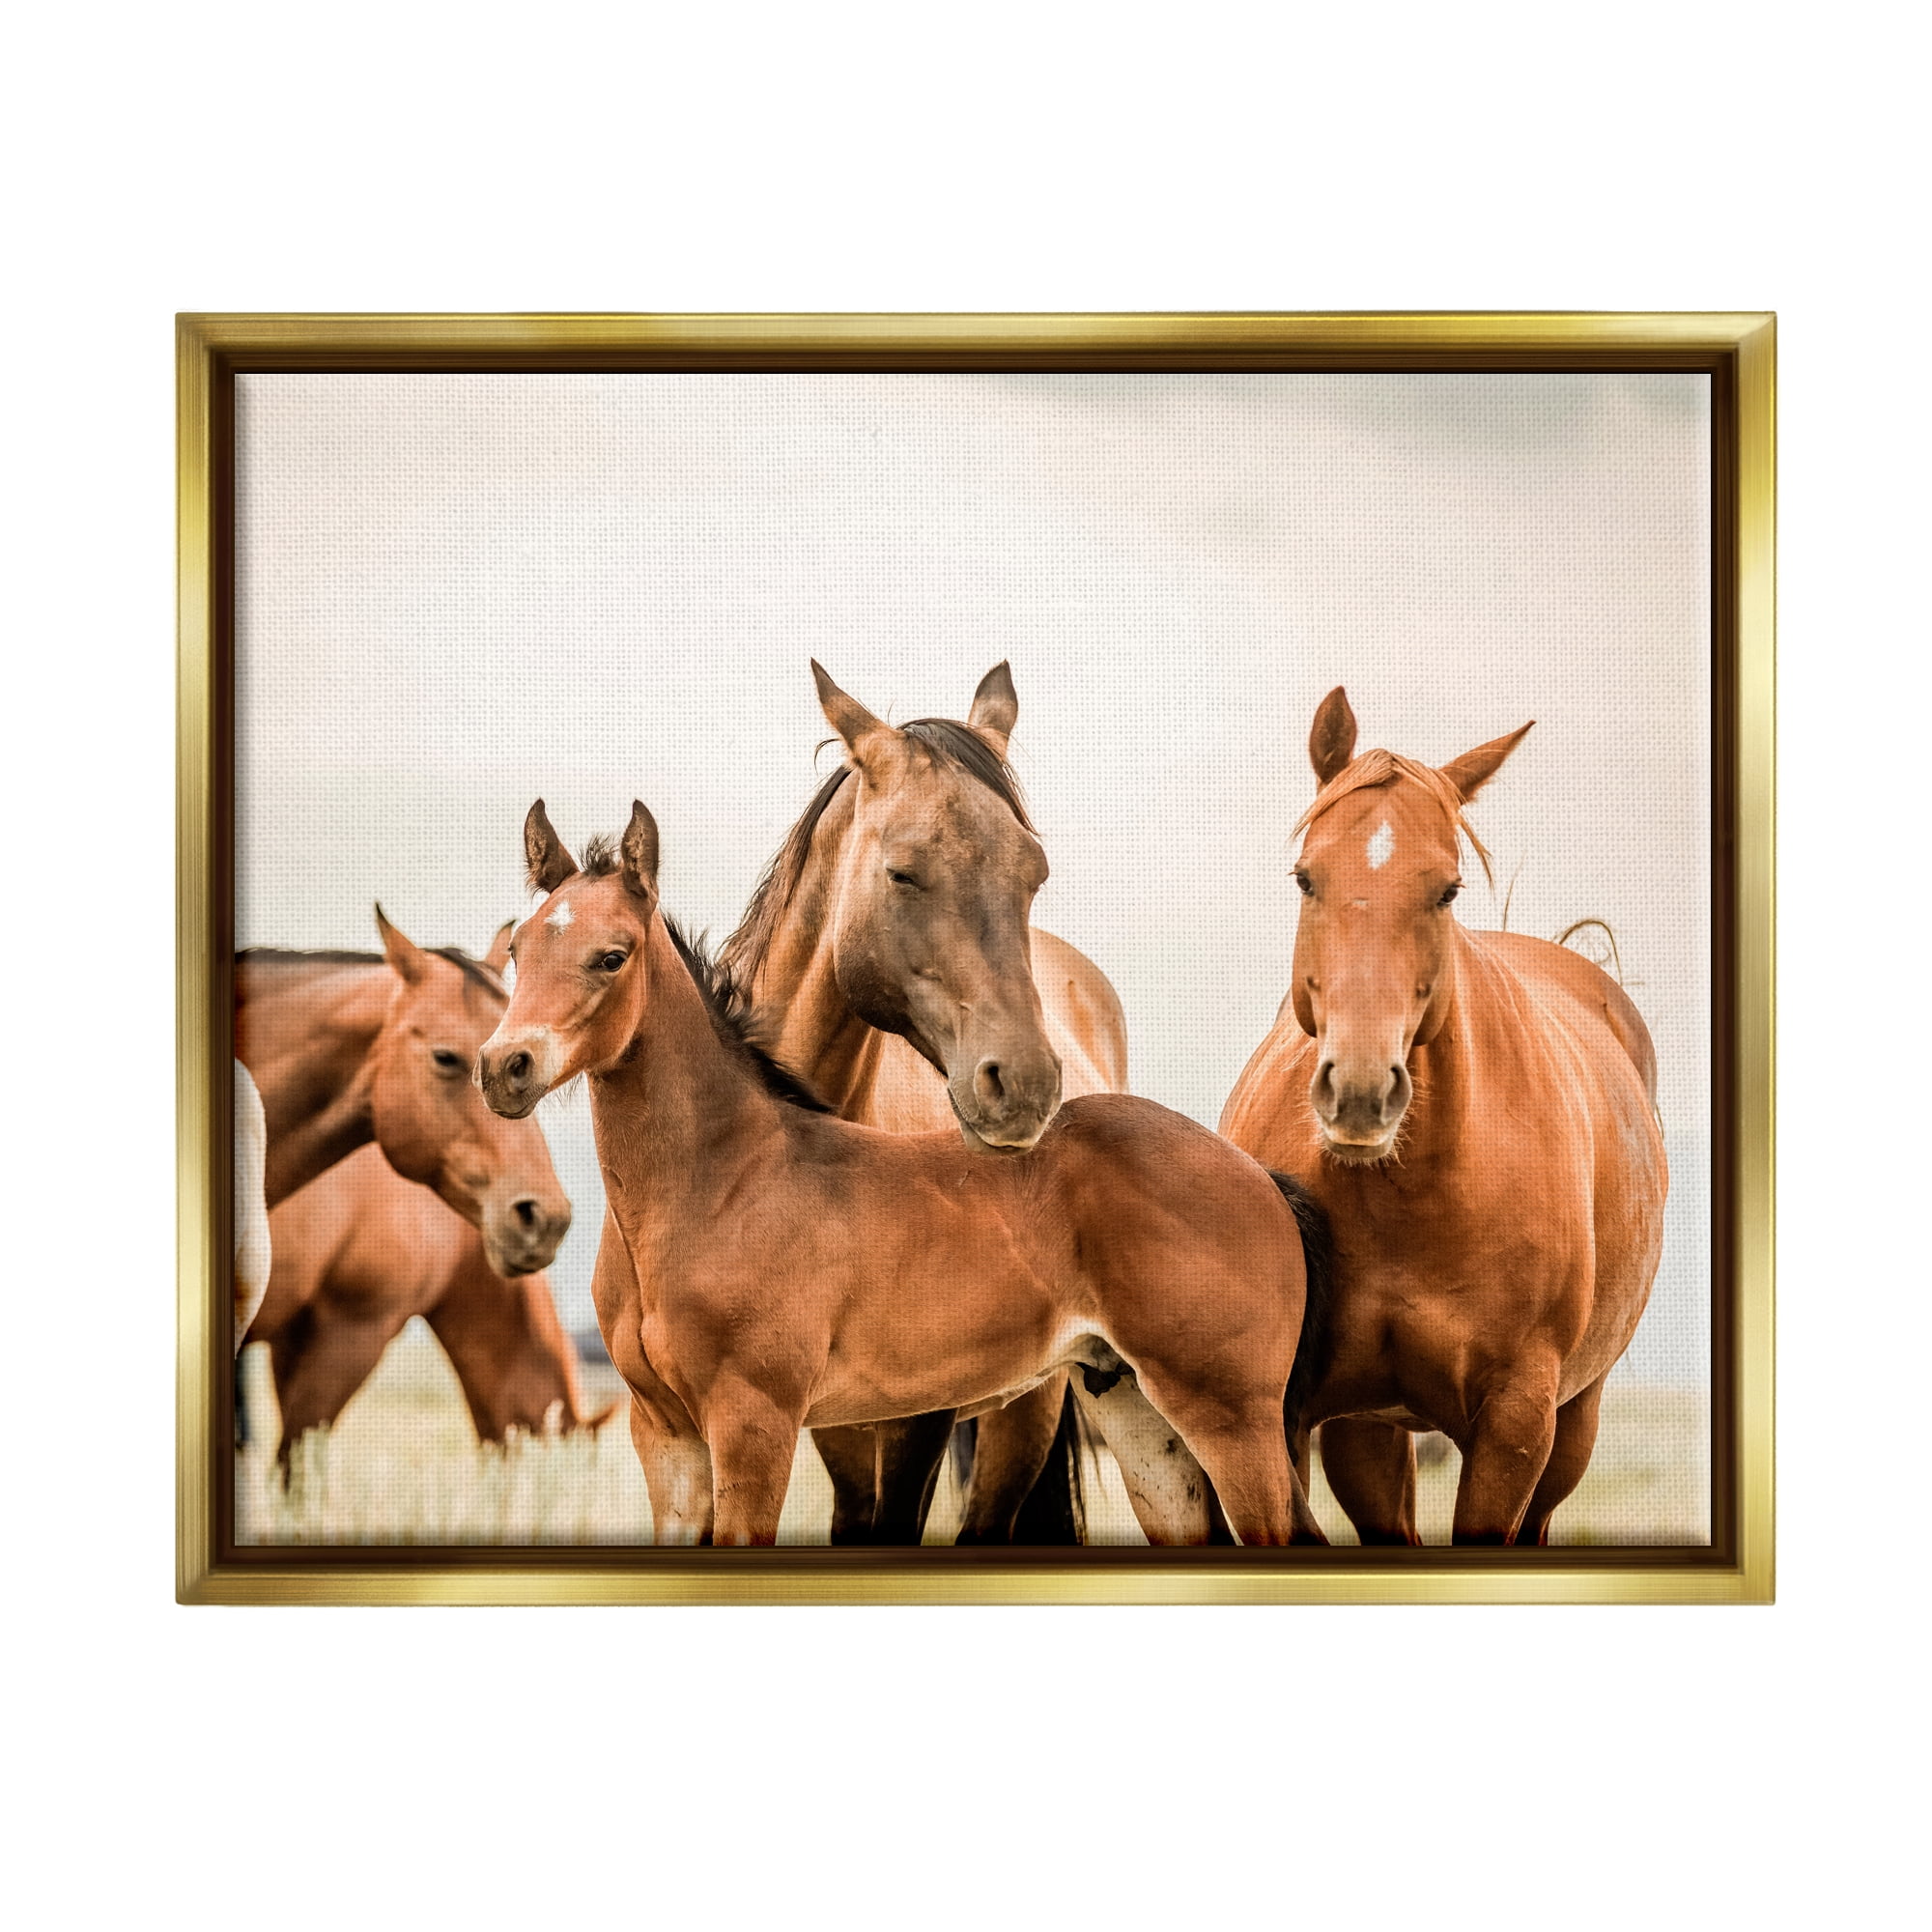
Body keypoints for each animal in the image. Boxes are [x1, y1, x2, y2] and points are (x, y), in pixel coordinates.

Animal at [478, 800, 1326, 1547]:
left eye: (611, 956)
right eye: (518, 952)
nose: (503, 1067)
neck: (718, 1185)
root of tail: (1257, 1175)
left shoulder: (754, 1426)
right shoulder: (665, 1438)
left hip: (1232, 1419)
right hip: (1139, 1416)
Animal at [717, 661, 1131, 1544]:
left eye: (1034, 873)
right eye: (902, 871)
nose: (1024, 1085)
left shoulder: (921, 1421)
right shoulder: (832, 1427)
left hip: (1025, 1411)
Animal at [1218, 688, 1668, 1545]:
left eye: (1449, 890)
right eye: (1305, 878)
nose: (1361, 1091)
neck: (1409, 1203)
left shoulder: (1517, 1425)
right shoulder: (1292, 1416)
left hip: (1573, 1424)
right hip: (1370, 1433)